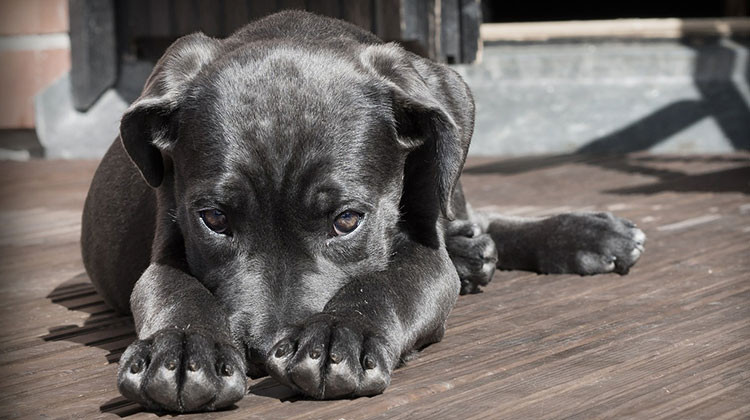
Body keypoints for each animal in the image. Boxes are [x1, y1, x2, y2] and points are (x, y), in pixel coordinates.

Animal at [82, 10, 648, 414]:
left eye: (347, 220)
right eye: (214, 220)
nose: (263, 352)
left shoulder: (425, 254)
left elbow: (387, 282)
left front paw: (340, 334)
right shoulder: (167, 241)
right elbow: (174, 289)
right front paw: (181, 349)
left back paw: (583, 235)